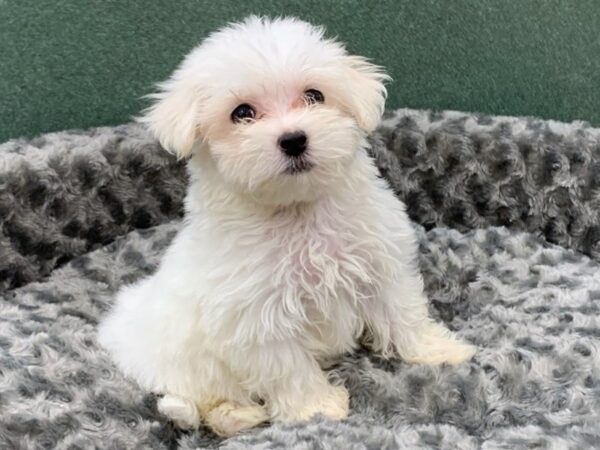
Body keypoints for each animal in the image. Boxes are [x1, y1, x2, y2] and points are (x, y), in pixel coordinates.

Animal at [97, 16, 474, 436]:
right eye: (242, 113)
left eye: (314, 95)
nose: (294, 139)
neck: (298, 212)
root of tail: (115, 329)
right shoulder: (256, 316)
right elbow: (287, 366)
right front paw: (318, 408)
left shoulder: (380, 264)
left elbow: (402, 313)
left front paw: (438, 351)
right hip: (182, 363)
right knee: (201, 402)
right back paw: (239, 415)